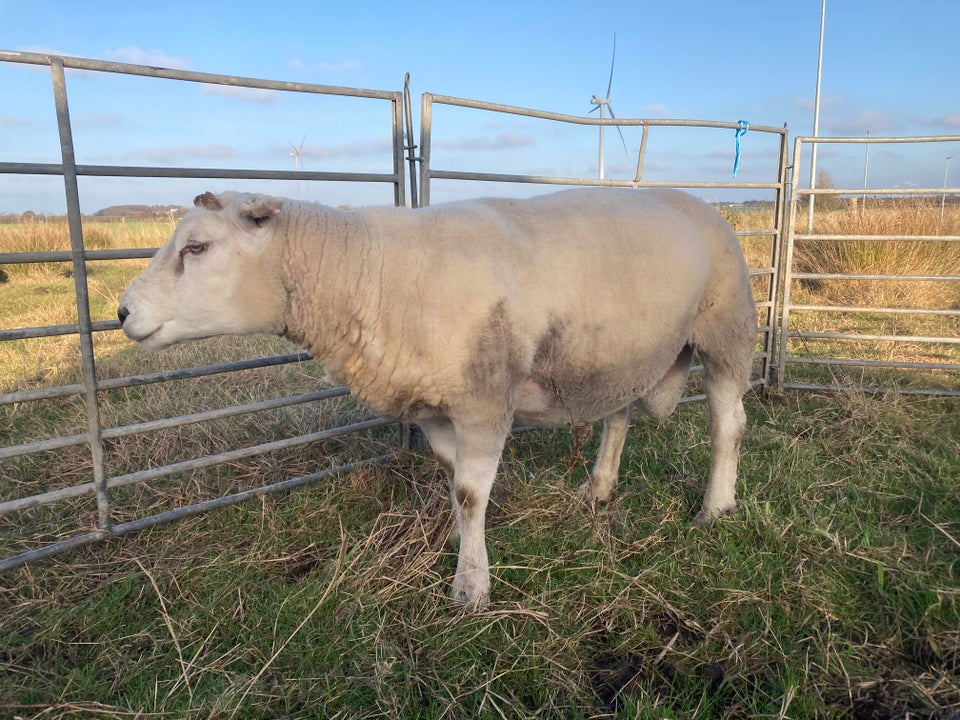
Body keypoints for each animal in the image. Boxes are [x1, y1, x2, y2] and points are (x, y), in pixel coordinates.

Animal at [118, 187, 756, 608]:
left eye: (197, 248)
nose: (122, 313)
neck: (367, 271)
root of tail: (705, 205)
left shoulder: (484, 400)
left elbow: (473, 493)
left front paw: (471, 585)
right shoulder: (432, 407)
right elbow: (452, 479)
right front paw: (455, 539)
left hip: (727, 329)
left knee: (728, 423)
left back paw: (715, 506)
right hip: (619, 353)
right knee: (618, 416)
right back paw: (599, 488)